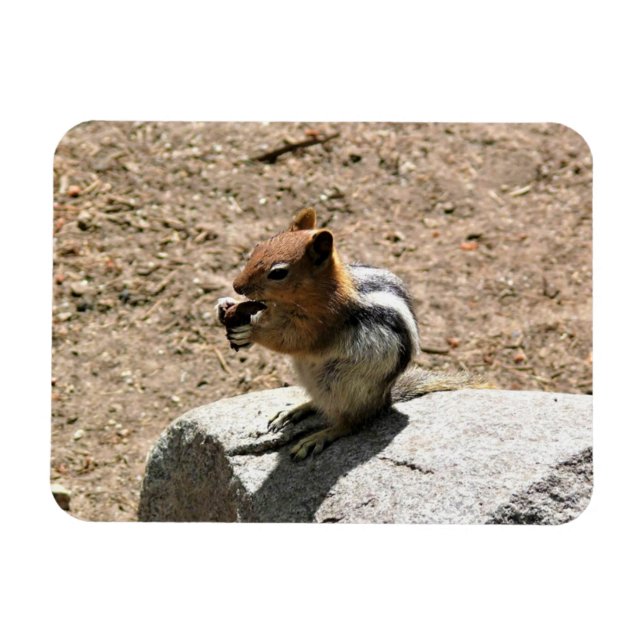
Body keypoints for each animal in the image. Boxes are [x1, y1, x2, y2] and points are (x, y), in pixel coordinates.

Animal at [217, 207, 483, 460]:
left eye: (278, 273)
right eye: (258, 247)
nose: (236, 286)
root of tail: (383, 402)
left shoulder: (319, 325)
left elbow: (289, 340)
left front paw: (250, 331)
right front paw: (225, 305)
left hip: (342, 386)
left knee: (350, 423)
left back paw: (317, 437)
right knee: (320, 404)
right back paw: (296, 410)